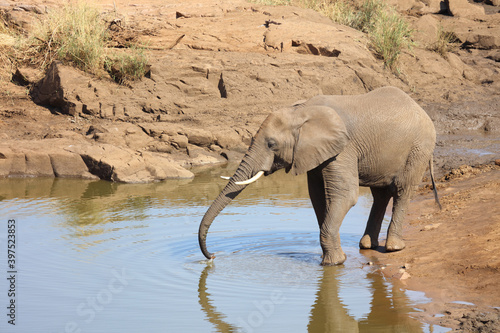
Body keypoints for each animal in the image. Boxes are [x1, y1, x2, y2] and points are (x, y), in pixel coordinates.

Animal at [197, 85, 440, 264]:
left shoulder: (343, 148)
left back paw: (393, 248)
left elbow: (345, 195)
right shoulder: (312, 152)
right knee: (380, 195)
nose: (213, 257)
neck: (302, 110)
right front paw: (334, 260)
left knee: (402, 191)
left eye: (271, 144)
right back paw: (367, 246)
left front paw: (333, 263)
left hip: (418, 148)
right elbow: (317, 196)